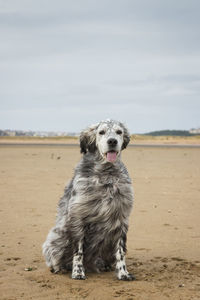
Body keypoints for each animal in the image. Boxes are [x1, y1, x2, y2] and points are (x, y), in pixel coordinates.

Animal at [43, 119, 135, 282]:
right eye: (101, 132)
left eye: (119, 132)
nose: (112, 141)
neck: (106, 175)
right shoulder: (78, 218)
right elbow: (78, 251)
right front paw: (78, 272)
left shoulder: (121, 218)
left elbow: (120, 252)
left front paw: (123, 273)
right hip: (57, 238)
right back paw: (59, 268)